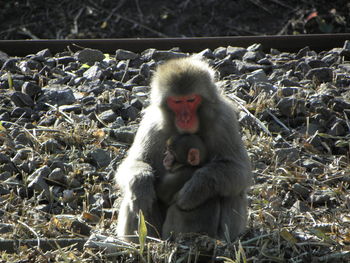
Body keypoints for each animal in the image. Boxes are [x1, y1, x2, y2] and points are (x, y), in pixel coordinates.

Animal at [115, 56, 252, 242]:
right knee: (134, 199)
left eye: (191, 100)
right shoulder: (151, 123)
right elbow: (135, 163)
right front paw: (141, 183)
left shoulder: (224, 120)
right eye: (177, 102)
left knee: (231, 188)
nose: (185, 118)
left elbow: (239, 170)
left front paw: (195, 189)